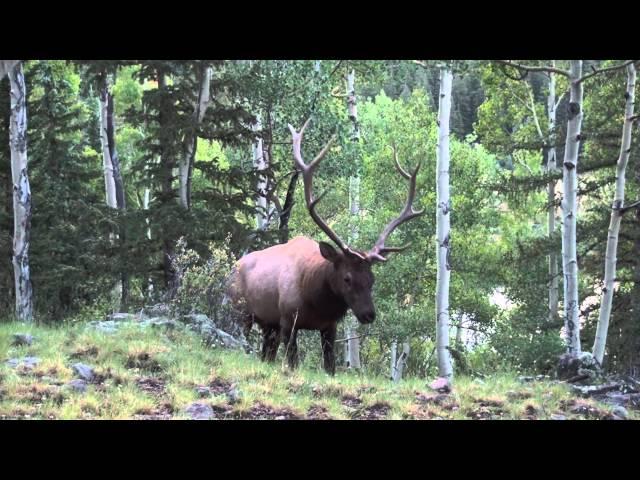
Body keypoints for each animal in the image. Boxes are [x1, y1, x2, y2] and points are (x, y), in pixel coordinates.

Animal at [230, 118, 424, 374]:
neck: (317, 301)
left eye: (372, 279)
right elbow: (293, 362)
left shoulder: (329, 327)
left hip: (267, 325)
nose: (369, 314)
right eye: (347, 278)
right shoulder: (287, 320)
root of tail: (232, 268)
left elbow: (330, 366)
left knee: (266, 354)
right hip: (241, 312)